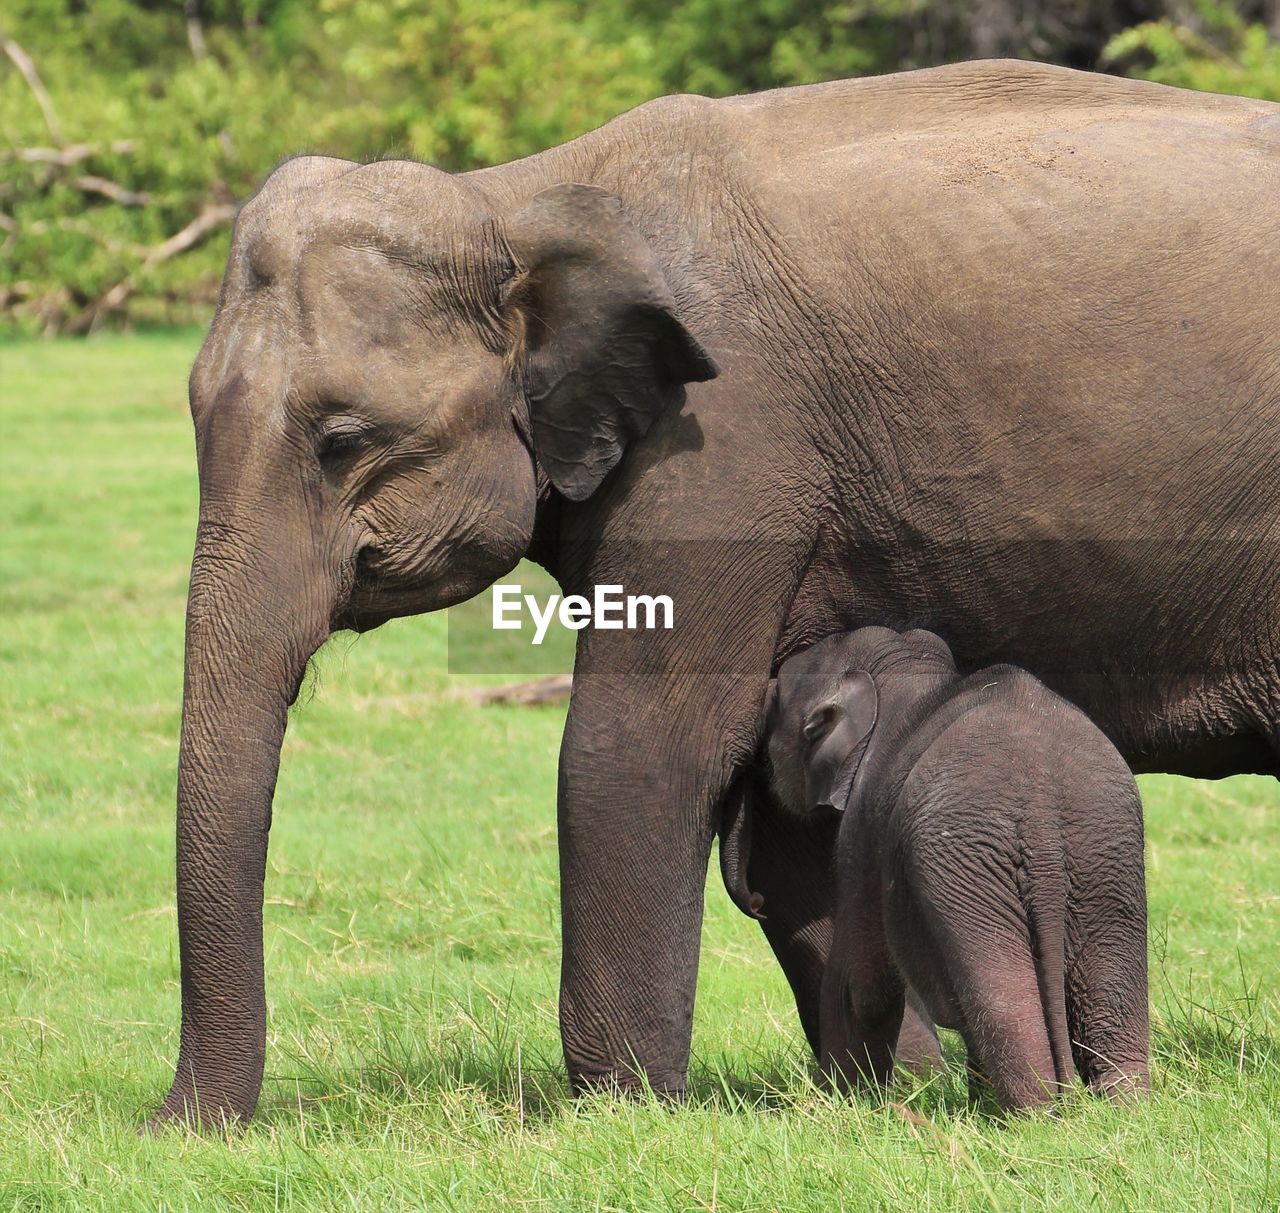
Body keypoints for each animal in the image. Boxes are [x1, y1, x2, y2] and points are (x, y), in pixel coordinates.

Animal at [762, 629, 1146, 1105]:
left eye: (777, 700)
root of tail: (1041, 808)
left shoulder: (862, 829)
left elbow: (860, 986)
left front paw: (846, 1105)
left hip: (967, 862)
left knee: (1003, 1001)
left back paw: (1035, 1115)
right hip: (1106, 854)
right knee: (1111, 992)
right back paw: (1124, 1108)